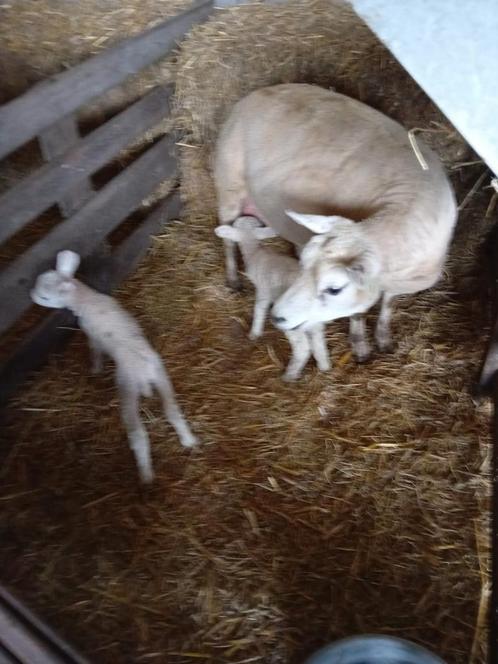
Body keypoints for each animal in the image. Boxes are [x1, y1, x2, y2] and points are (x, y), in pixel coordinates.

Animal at [29, 249, 198, 482]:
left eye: (45, 297)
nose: (30, 294)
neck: (87, 299)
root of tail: (144, 372)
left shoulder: (91, 334)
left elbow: (95, 351)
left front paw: (96, 369)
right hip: (161, 375)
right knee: (172, 410)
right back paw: (189, 441)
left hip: (127, 387)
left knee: (138, 434)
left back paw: (146, 476)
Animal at [212, 84, 458, 364]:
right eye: (303, 267)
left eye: (334, 289)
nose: (277, 316)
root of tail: (257, 93)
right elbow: (358, 312)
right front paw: (360, 346)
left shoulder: (396, 283)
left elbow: (388, 303)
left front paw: (383, 337)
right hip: (229, 183)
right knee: (227, 236)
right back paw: (233, 278)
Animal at [213, 217, 326, 382]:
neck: (255, 251)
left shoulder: (263, 290)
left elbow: (259, 310)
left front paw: (254, 333)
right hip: (314, 320)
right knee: (319, 339)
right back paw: (324, 366)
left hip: (290, 322)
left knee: (303, 347)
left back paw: (289, 375)